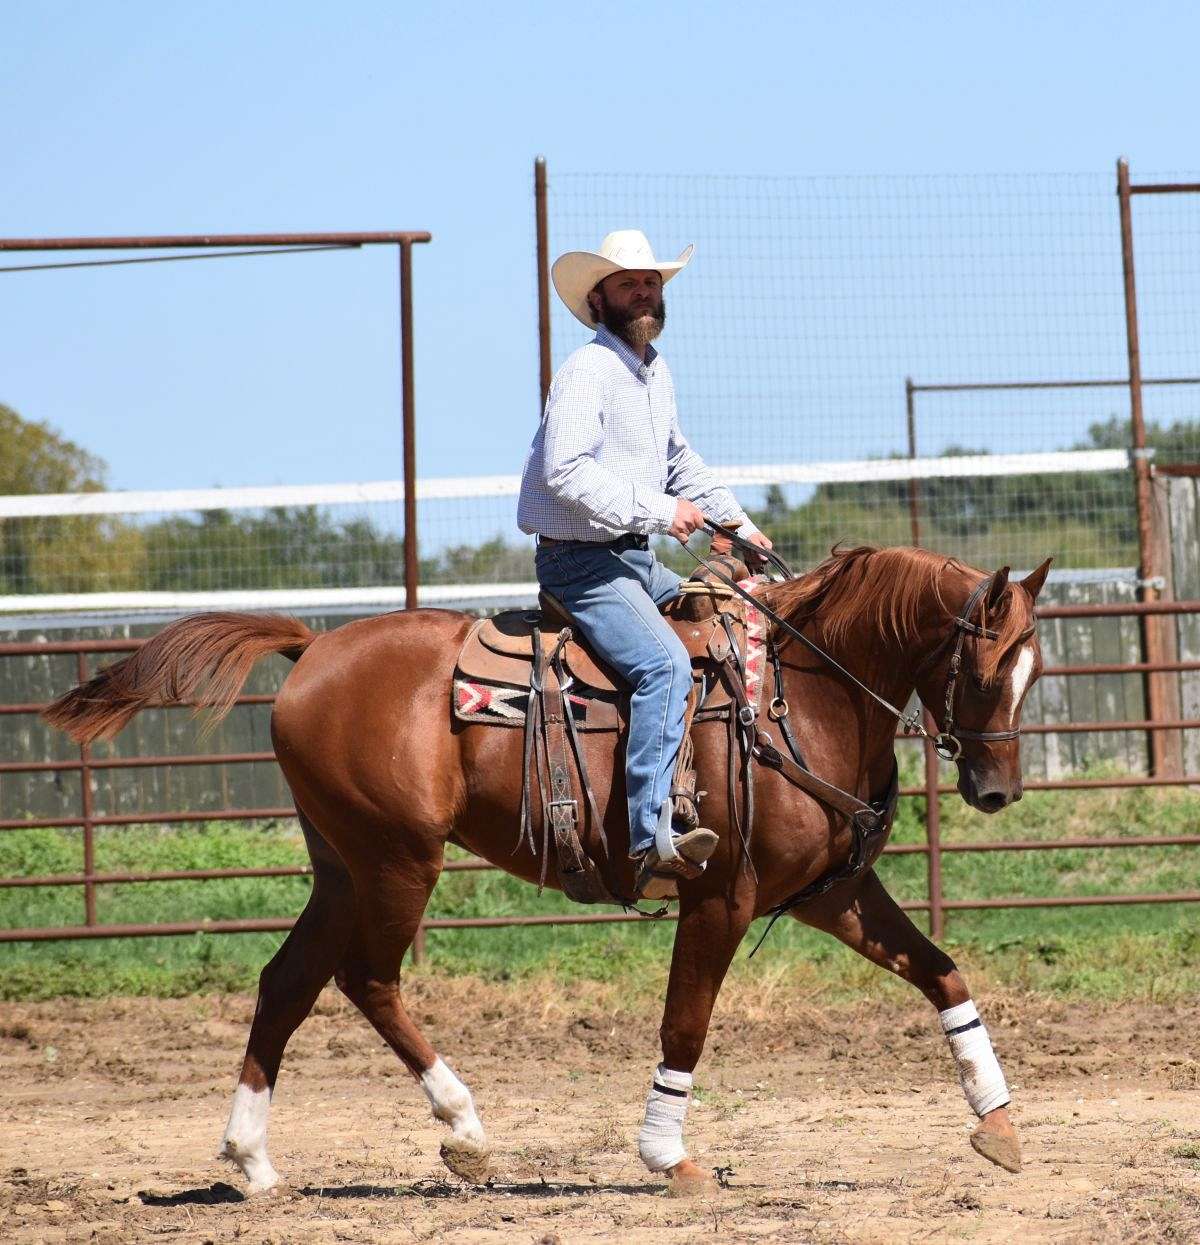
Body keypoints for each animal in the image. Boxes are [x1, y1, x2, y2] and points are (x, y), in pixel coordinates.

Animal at [42, 545, 1045, 1195]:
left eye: (1032, 672)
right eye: (984, 667)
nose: (997, 789)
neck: (797, 693)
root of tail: (314, 646)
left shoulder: (831, 895)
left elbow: (943, 971)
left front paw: (997, 1121)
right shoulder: (720, 898)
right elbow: (685, 1026)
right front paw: (667, 1156)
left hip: (342, 867)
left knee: (288, 981)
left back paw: (253, 1161)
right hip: (396, 860)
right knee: (367, 977)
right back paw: (464, 1128)